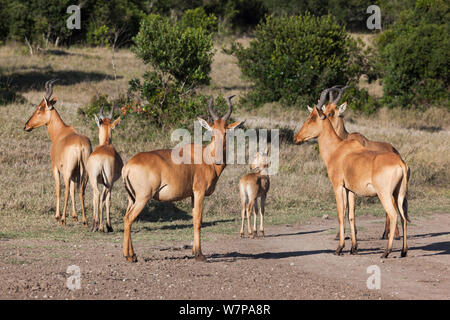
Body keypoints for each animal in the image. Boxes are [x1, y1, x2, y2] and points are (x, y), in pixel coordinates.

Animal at [24, 79, 92, 225]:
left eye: (40, 108)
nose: (26, 126)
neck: (62, 132)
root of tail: (80, 145)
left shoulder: (55, 167)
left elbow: (58, 190)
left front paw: (57, 216)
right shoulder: (75, 173)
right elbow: (73, 190)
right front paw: (75, 216)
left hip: (67, 171)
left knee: (65, 190)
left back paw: (63, 219)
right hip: (85, 172)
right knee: (82, 191)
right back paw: (84, 220)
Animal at [121, 96, 244, 262]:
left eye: (226, 132)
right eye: (212, 132)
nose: (219, 160)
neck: (204, 156)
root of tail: (128, 165)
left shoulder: (192, 195)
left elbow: (193, 219)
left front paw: (194, 252)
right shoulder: (199, 192)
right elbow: (198, 220)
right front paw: (200, 255)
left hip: (132, 198)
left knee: (126, 218)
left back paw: (131, 255)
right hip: (142, 198)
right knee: (129, 218)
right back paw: (129, 256)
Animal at [294, 87, 410, 258]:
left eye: (312, 117)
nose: (296, 138)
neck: (338, 149)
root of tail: (400, 162)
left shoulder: (338, 186)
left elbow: (340, 214)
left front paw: (340, 248)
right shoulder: (350, 190)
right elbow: (351, 216)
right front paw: (353, 248)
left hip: (385, 195)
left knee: (393, 215)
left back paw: (386, 252)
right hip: (399, 194)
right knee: (403, 218)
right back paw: (403, 251)